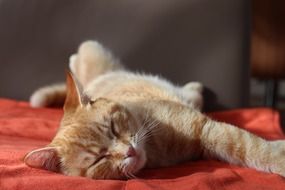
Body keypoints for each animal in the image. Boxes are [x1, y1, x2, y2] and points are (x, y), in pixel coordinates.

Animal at [23, 40, 284, 180]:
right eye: (99, 159)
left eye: (113, 128)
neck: (156, 150)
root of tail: (92, 81)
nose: (128, 151)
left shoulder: (206, 128)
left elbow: (255, 148)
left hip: (88, 49)